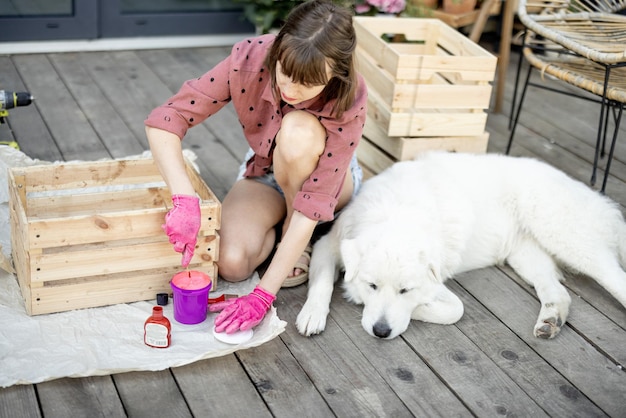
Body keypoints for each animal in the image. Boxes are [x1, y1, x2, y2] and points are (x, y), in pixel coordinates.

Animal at [294, 153, 624, 340]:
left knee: (613, 275)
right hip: (527, 255)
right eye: (372, 285)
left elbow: (455, 309)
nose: (381, 332)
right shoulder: (328, 244)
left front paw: (418, 310)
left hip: (567, 238)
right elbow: (321, 284)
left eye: (405, 290)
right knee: (557, 291)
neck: (398, 212)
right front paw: (312, 314)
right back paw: (551, 321)